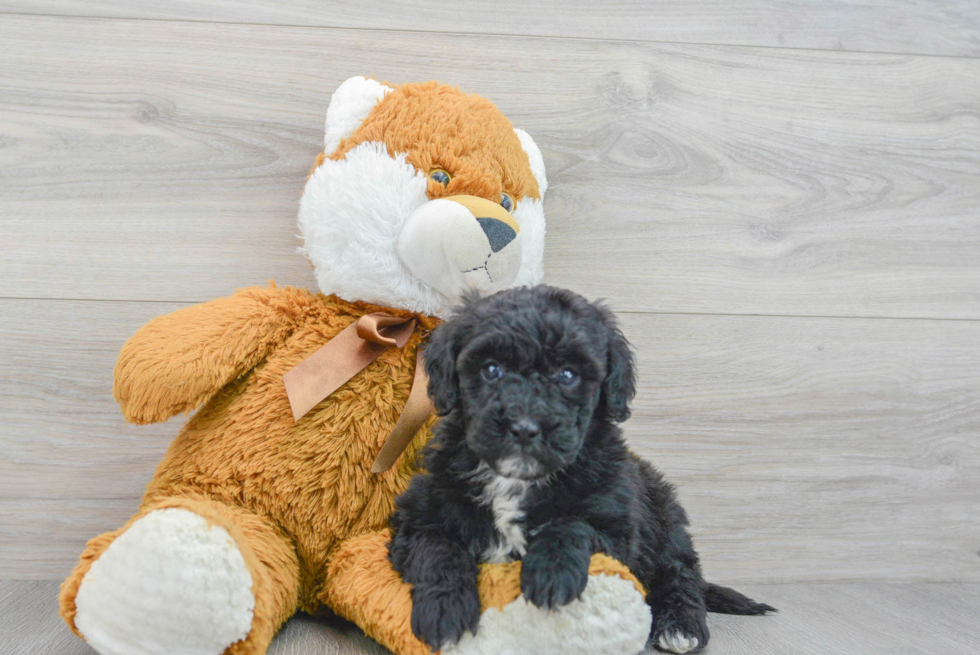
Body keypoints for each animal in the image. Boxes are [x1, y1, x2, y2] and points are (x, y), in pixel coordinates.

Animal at [386, 288, 768, 655]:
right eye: (491, 369)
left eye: (567, 375)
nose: (524, 428)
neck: (517, 480)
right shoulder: (419, 514)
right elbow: (437, 549)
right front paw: (444, 611)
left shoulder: (615, 526)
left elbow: (573, 524)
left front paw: (551, 573)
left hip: (666, 523)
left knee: (680, 575)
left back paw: (680, 627)